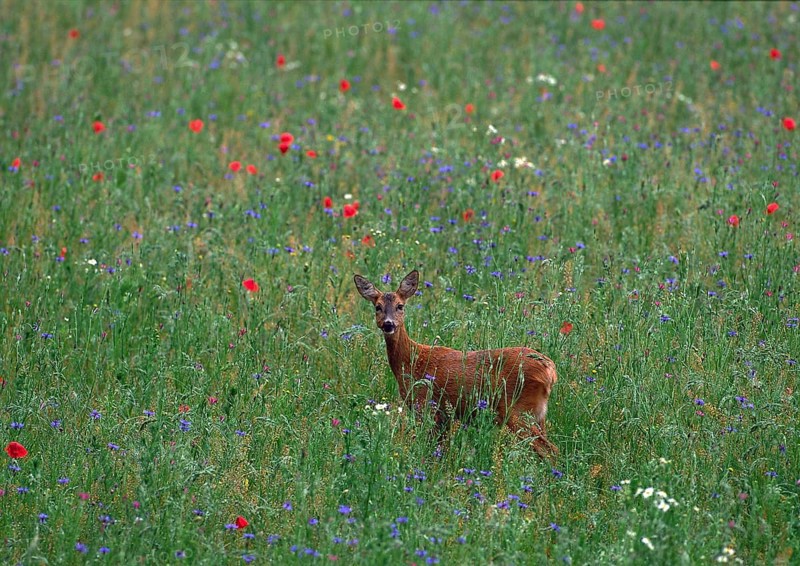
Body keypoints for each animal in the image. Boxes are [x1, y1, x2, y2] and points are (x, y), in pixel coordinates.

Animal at [354, 269, 558, 459]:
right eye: (377, 307)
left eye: (400, 306)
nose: (388, 324)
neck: (411, 361)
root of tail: (550, 370)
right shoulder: (444, 416)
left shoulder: (426, 405)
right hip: (538, 414)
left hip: (518, 409)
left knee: (550, 450)